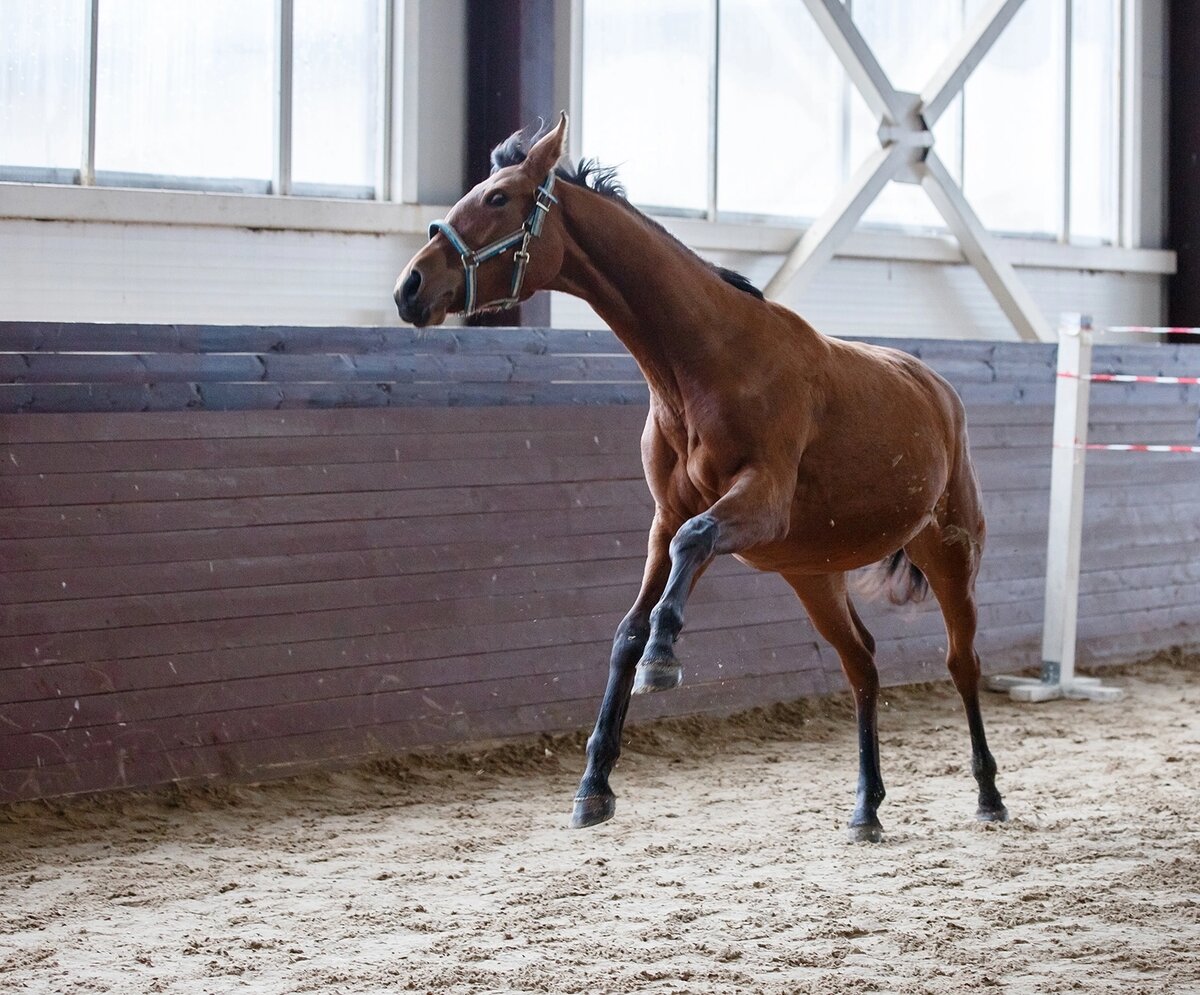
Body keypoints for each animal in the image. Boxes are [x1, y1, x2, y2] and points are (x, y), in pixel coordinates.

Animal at [393, 112, 1003, 840]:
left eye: (498, 197)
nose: (409, 287)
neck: (707, 362)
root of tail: (939, 391)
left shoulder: (753, 505)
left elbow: (684, 566)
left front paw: (664, 660)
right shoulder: (670, 519)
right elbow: (629, 629)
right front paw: (594, 785)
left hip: (949, 554)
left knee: (962, 662)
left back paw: (989, 794)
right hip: (814, 575)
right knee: (862, 664)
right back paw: (866, 806)